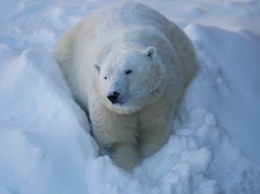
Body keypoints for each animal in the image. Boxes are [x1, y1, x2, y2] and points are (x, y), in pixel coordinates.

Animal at [54, 1, 197, 171]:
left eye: (128, 71)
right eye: (105, 77)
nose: (113, 95)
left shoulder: (160, 96)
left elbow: (154, 129)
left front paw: (147, 155)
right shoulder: (106, 106)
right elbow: (115, 140)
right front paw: (124, 167)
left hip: (182, 46)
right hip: (67, 57)